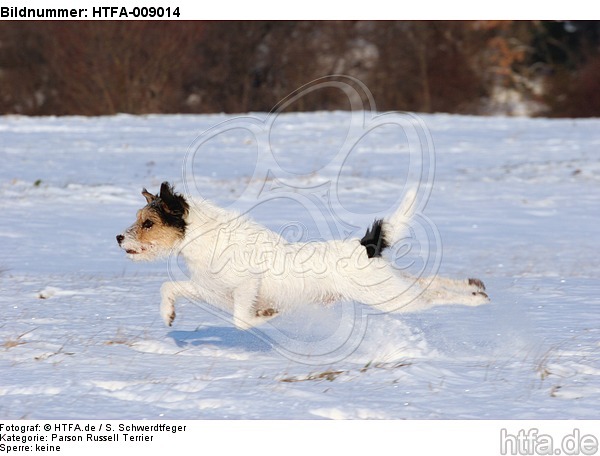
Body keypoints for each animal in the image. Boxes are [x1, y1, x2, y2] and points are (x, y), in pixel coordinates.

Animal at [116, 181, 488, 328]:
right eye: (138, 219)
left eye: (148, 223)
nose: (119, 237)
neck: (203, 238)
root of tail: (363, 246)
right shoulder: (208, 289)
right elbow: (170, 287)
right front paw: (167, 314)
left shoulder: (245, 287)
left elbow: (242, 320)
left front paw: (268, 316)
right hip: (391, 286)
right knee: (430, 281)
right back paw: (474, 286)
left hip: (390, 297)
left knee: (432, 297)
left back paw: (473, 300)